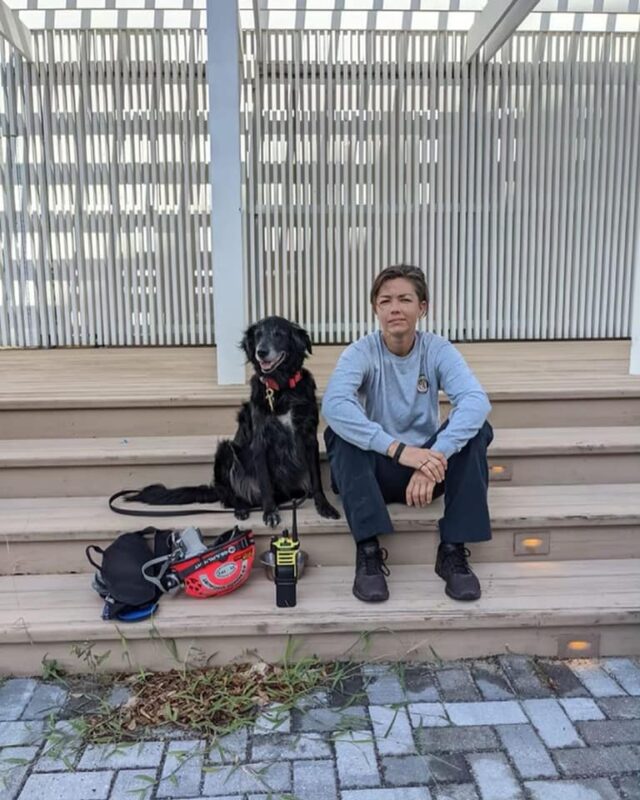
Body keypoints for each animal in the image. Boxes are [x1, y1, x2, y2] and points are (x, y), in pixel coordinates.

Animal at [124, 316, 340, 528]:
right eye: (258, 335)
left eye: (279, 334)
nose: (261, 352)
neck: (281, 387)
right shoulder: (260, 442)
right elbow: (265, 482)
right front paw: (270, 512)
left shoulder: (309, 437)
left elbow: (316, 479)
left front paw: (324, 506)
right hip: (225, 451)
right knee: (230, 497)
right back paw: (242, 507)